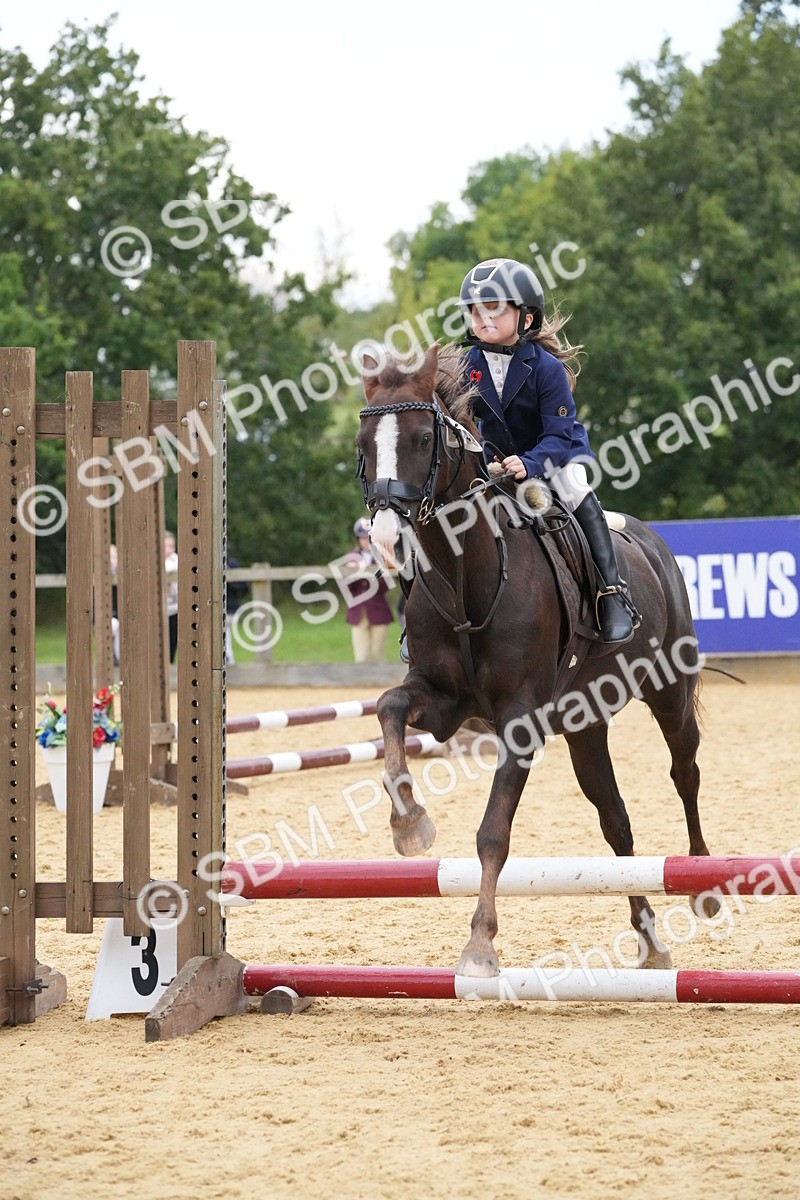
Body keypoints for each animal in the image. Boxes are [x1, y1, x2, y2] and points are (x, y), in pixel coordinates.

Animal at [356, 342, 718, 979]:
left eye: (423, 439)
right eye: (363, 445)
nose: (384, 538)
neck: (466, 574)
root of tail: (652, 542)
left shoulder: (520, 721)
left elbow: (493, 833)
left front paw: (479, 945)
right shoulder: (444, 702)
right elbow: (389, 708)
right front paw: (410, 824)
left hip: (670, 690)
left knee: (685, 771)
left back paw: (700, 882)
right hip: (585, 724)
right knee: (616, 824)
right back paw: (650, 940)